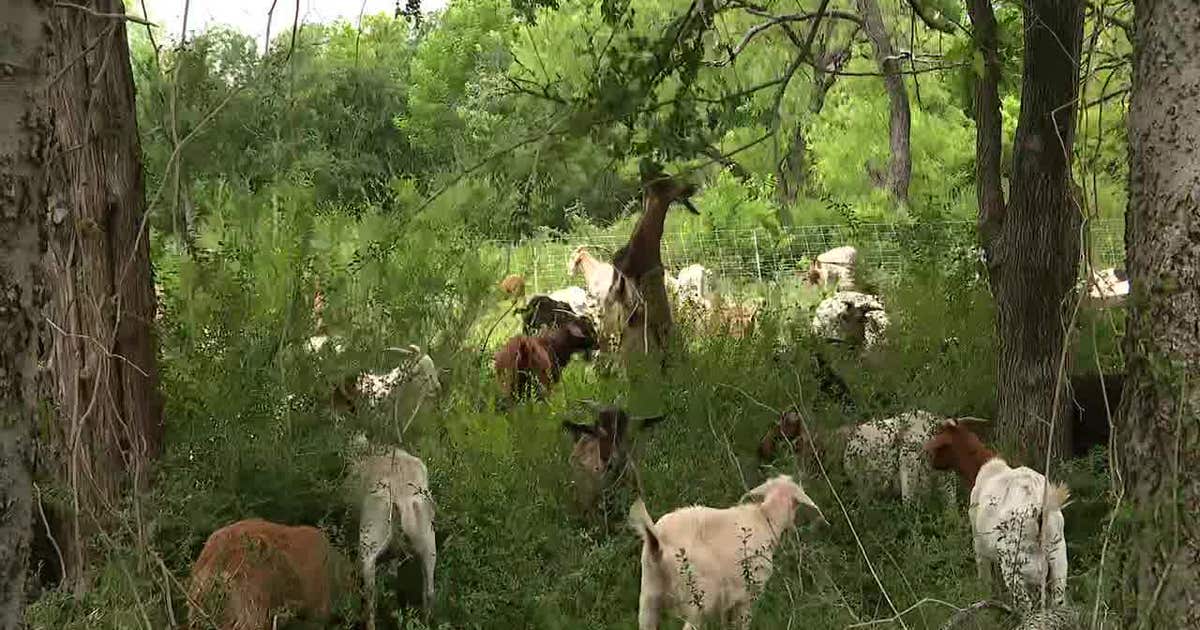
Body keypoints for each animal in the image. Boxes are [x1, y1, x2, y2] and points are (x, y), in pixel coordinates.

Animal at [629, 475, 825, 629]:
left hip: (649, 594)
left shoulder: (729, 599)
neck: (765, 518)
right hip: (698, 596)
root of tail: (657, 539)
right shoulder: (748, 593)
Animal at [925, 419, 1070, 611]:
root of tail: (1041, 508)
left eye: (940, 438)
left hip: (1015, 564)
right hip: (1058, 558)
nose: (930, 460)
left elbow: (985, 579)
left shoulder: (979, 543)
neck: (984, 468)